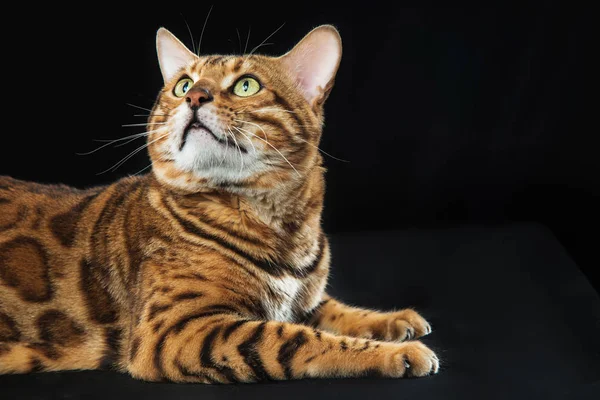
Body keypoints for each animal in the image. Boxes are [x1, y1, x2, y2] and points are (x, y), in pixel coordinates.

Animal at [1, 25, 440, 384]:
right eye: (182, 85)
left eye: (246, 85)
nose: (195, 95)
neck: (283, 228)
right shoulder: (176, 330)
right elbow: (296, 338)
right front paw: (395, 353)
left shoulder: (302, 299)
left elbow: (333, 310)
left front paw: (393, 319)